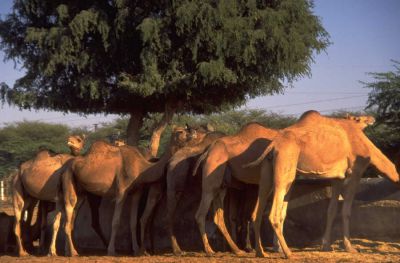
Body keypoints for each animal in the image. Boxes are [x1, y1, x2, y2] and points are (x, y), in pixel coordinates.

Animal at [52, 126, 206, 258]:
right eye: (180, 131)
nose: (193, 132)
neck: (142, 168)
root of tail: (64, 168)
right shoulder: (121, 191)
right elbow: (116, 221)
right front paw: (112, 251)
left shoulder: (136, 192)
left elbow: (133, 221)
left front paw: (137, 250)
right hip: (69, 181)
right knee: (68, 216)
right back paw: (73, 253)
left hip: (81, 191)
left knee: (71, 217)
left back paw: (69, 251)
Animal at [191, 123, 278, 256]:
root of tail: (207, 152)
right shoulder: (255, 186)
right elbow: (252, 215)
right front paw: (254, 249)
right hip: (211, 182)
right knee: (200, 214)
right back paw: (210, 250)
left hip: (221, 187)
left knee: (218, 216)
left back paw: (236, 249)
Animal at [245, 110, 398, 258]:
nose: (373, 118)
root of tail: (273, 145)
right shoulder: (355, 172)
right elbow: (346, 211)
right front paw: (350, 248)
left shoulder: (338, 178)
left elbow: (331, 210)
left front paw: (326, 246)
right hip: (285, 168)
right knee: (273, 214)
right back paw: (287, 253)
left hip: (268, 170)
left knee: (258, 212)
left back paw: (261, 252)